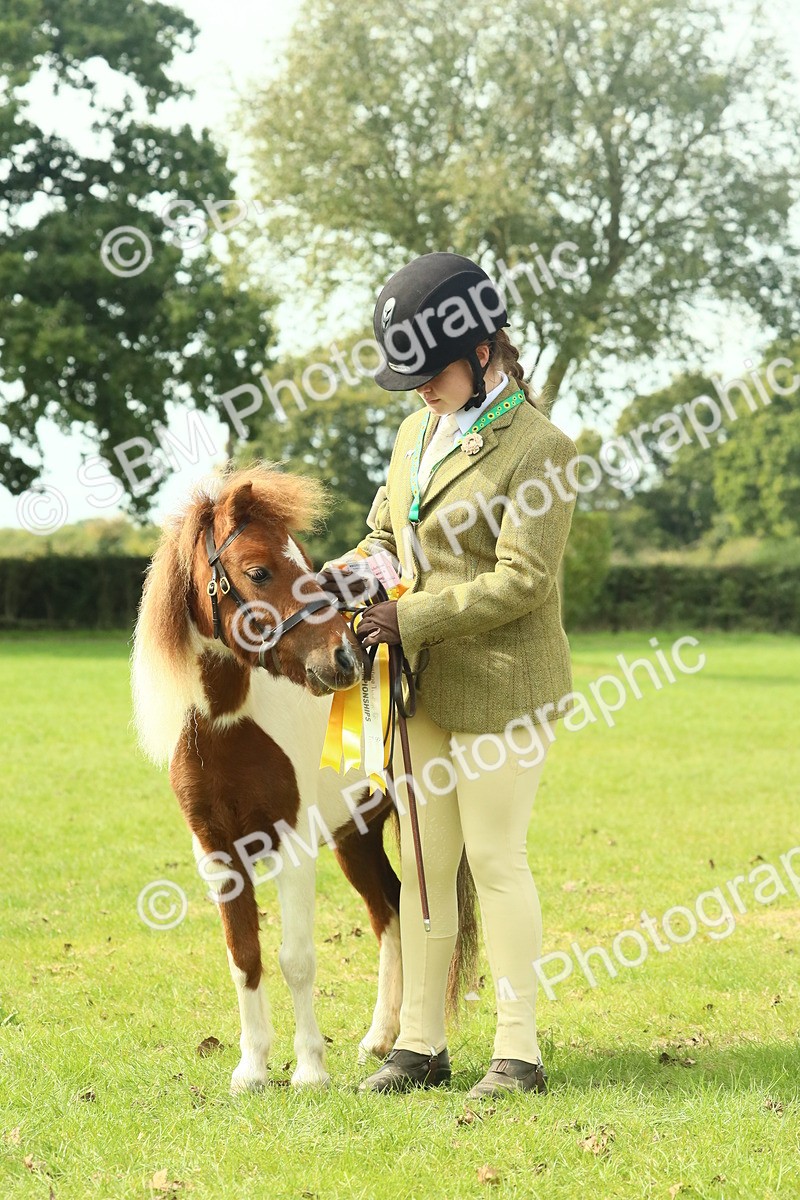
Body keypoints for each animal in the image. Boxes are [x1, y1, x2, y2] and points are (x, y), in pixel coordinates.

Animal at [131, 463, 473, 1093]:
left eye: (307, 562)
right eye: (258, 570)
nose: (344, 658)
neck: (232, 728)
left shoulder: (291, 844)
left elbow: (295, 958)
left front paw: (309, 1069)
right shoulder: (216, 853)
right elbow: (245, 957)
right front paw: (251, 1069)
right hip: (354, 836)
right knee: (390, 912)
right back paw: (380, 1039)